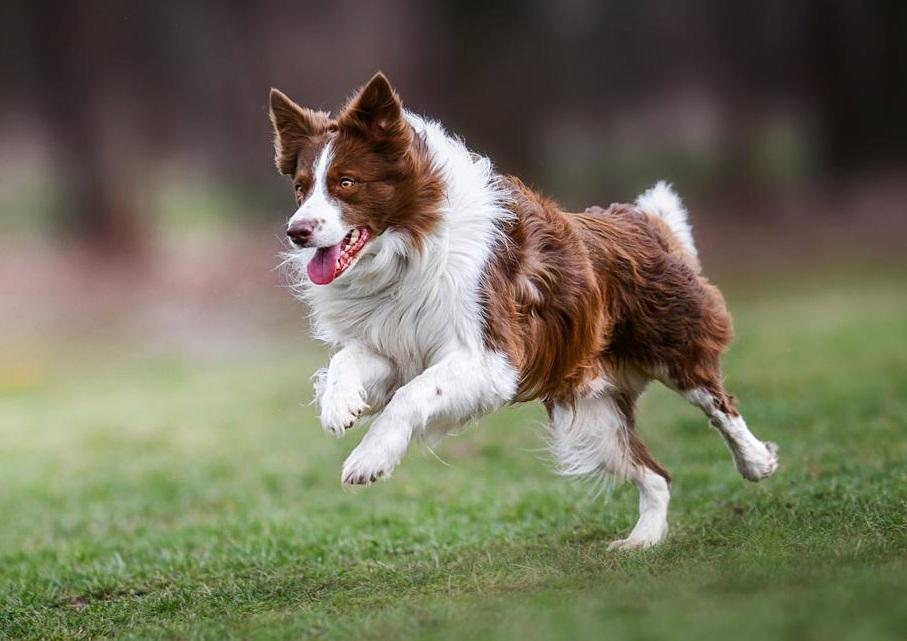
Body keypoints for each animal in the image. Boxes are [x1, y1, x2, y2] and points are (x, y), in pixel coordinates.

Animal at [270, 72, 780, 548]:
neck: (407, 247)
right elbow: (348, 361)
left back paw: (757, 461)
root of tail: (642, 220)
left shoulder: (491, 357)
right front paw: (340, 406)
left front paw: (369, 459)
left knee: (718, 404)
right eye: (300, 188)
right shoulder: (396, 343)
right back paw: (643, 540)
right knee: (655, 474)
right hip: (591, 410)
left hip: (673, 345)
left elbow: (412, 395)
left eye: (345, 183)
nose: (297, 231)